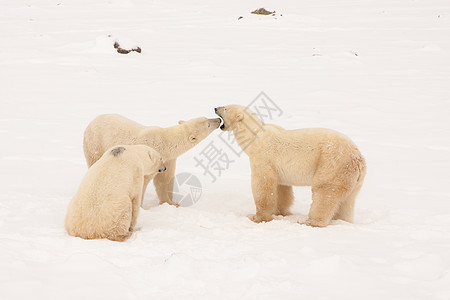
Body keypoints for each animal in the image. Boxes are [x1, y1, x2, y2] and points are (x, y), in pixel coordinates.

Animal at [83, 113, 221, 205]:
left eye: (205, 118)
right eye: (208, 124)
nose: (219, 119)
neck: (166, 142)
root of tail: (92, 121)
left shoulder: (168, 159)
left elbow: (164, 180)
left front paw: (172, 203)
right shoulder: (152, 158)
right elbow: (145, 180)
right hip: (95, 143)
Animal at [214, 105, 366, 227]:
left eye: (226, 108)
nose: (215, 108)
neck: (254, 136)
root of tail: (358, 158)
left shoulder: (263, 157)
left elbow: (263, 185)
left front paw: (257, 217)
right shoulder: (278, 167)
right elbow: (281, 188)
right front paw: (280, 212)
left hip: (332, 164)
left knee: (325, 192)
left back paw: (309, 222)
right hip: (353, 179)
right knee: (348, 201)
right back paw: (341, 220)